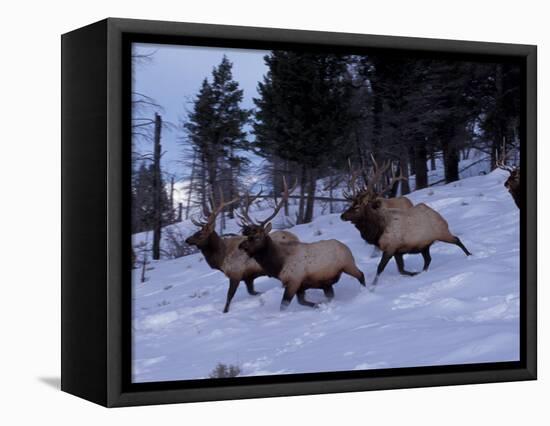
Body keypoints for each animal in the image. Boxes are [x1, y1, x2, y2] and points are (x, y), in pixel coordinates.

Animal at [238, 178, 364, 312]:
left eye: (256, 237)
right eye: (247, 236)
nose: (240, 246)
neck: (278, 265)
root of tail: (346, 247)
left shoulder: (294, 281)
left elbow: (283, 305)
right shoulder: (300, 286)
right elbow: (302, 302)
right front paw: (318, 305)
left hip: (348, 264)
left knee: (361, 275)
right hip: (327, 282)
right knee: (331, 294)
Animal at [342, 157, 472, 286]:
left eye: (357, 207)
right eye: (350, 205)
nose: (342, 216)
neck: (377, 231)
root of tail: (440, 216)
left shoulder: (390, 247)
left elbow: (380, 268)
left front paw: (373, 286)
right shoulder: (397, 251)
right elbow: (401, 270)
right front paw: (415, 273)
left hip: (442, 232)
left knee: (456, 240)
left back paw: (470, 255)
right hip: (425, 245)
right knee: (428, 259)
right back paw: (424, 271)